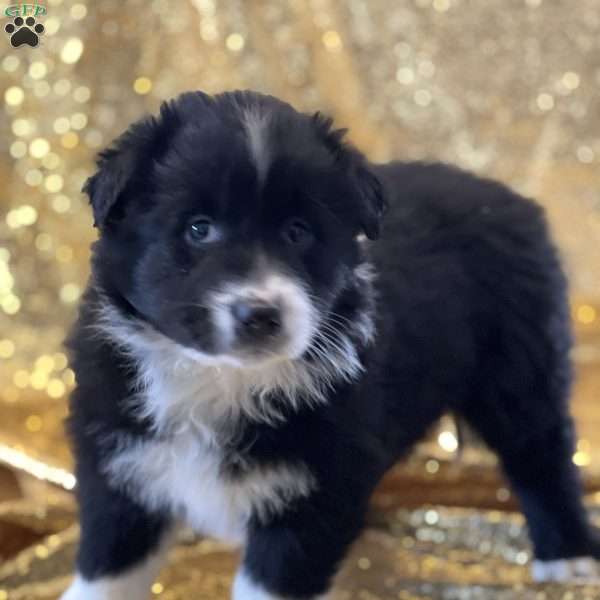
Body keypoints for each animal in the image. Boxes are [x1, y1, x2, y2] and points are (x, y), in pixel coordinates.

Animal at [62, 90, 600, 600]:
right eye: (199, 228)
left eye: (298, 231)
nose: (261, 315)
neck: (224, 378)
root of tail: (509, 196)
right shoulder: (118, 455)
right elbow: (109, 562)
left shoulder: (320, 482)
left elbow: (272, 579)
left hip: (520, 361)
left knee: (541, 450)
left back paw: (568, 557)